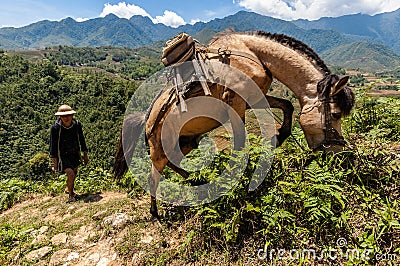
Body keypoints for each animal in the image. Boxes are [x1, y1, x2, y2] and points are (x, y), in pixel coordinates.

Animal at [111, 30, 354, 219]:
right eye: (335, 114)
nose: (340, 153)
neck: (253, 55)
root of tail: (147, 118)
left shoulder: (254, 98)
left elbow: (287, 106)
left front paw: (279, 137)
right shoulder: (237, 104)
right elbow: (240, 143)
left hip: (184, 143)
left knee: (175, 164)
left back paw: (197, 182)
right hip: (159, 150)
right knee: (154, 178)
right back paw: (155, 213)